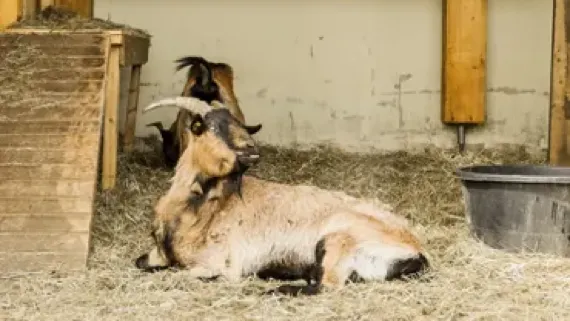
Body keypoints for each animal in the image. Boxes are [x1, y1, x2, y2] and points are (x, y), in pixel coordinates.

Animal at [135, 97, 428, 296]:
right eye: (210, 126)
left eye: (237, 123)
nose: (251, 150)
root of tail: (417, 252)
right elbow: (141, 263)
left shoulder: (220, 264)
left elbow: (179, 274)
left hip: (337, 240)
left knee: (327, 285)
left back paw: (275, 289)